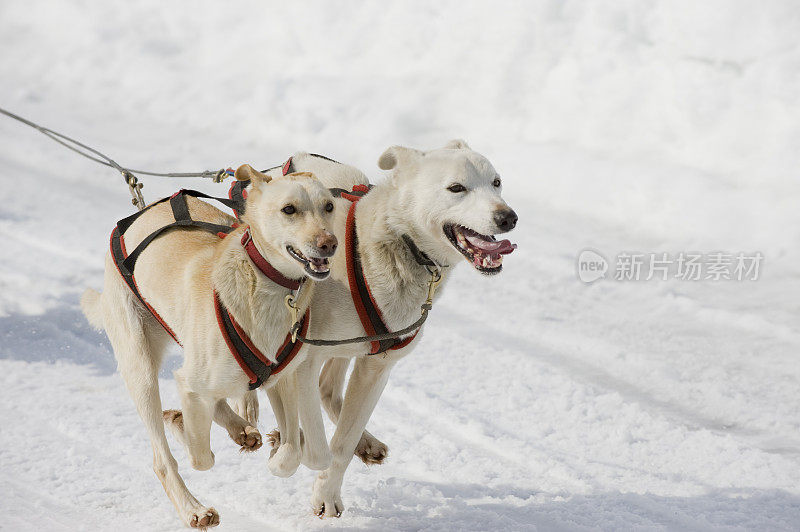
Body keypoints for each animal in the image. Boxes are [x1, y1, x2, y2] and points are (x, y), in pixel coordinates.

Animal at [83, 166, 340, 528]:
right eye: (289, 209)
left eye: (328, 206)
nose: (328, 243)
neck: (266, 288)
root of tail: (138, 214)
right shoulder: (190, 383)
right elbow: (199, 457)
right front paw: (182, 425)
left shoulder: (283, 379)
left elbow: (297, 451)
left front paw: (277, 453)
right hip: (141, 369)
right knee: (163, 459)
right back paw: (194, 507)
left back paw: (239, 428)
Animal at [225, 140, 520, 516]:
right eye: (457, 188)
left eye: (496, 183)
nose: (508, 217)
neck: (394, 246)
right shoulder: (303, 360)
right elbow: (317, 446)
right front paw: (289, 451)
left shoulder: (377, 366)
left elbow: (341, 444)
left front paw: (327, 491)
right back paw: (249, 408)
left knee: (329, 390)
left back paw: (365, 442)